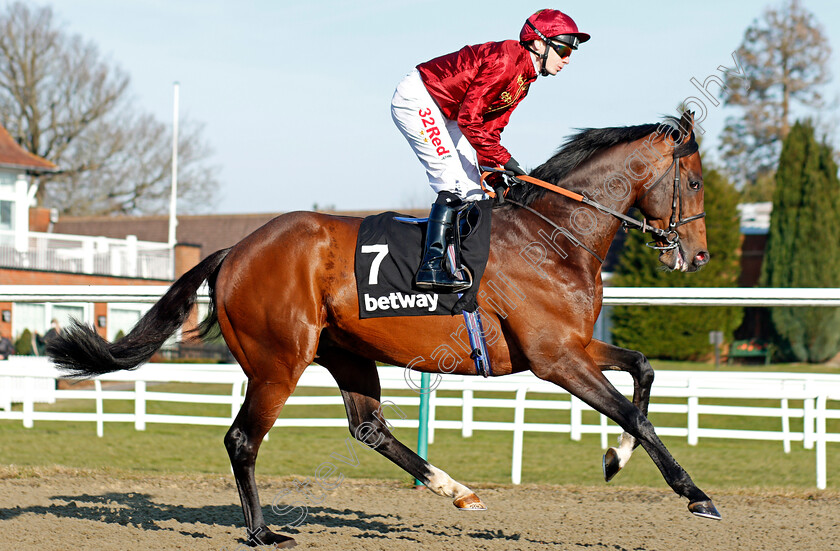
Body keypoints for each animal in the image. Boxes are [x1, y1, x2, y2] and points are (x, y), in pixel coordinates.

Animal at [46, 111, 720, 548]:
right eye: (693, 181)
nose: (696, 257)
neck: (554, 237)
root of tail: (235, 250)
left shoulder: (574, 346)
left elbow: (643, 369)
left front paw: (614, 459)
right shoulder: (555, 358)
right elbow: (635, 413)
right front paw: (695, 494)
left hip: (346, 352)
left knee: (369, 427)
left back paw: (454, 489)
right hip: (278, 361)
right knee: (242, 440)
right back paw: (262, 532)